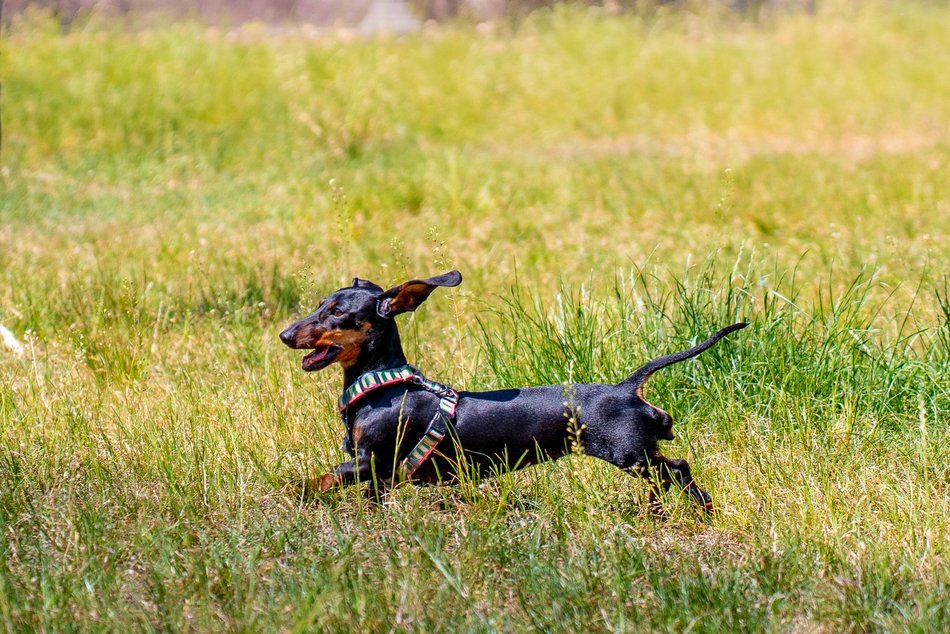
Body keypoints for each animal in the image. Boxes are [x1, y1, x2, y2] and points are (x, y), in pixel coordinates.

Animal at [278, 270, 748, 512]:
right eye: (319, 305)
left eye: (337, 313)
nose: (284, 335)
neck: (383, 386)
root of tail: (625, 387)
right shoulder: (378, 475)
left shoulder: (369, 462)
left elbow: (315, 480)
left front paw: (288, 495)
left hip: (630, 454)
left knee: (679, 470)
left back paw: (702, 512)